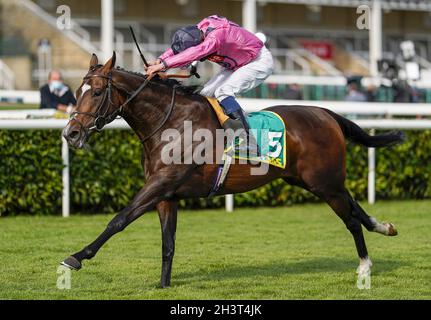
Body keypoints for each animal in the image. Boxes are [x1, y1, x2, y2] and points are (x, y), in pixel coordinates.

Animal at [60, 52, 402, 288]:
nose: (71, 133)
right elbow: (168, 244)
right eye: (77, 91)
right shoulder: (166, 195)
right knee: (354, 206)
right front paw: (164, 285)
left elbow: (119, 220)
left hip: (324, 183)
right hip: (313, 181)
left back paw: (364, 265)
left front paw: (75, 257)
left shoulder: (159, 185)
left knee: (351, 220)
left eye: (96, 92)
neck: (170, 123)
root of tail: (326, 113)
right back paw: (384, 227)